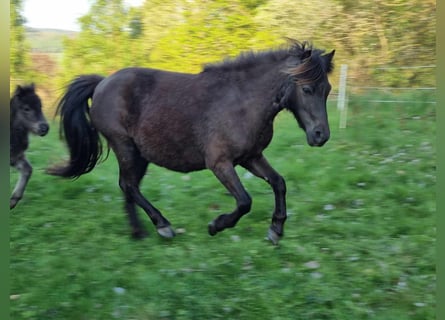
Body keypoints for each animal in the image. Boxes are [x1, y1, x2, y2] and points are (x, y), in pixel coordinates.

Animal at [48, 40, 332, 245]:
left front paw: (276, 230)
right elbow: (244, 201)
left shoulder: (251, 157)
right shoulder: (220, 163)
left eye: (327, 89)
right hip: (124, 146)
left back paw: (139, 234)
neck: (242, 102)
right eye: (307, 89)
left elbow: (279, 183)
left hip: (140, 154)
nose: (321, 135)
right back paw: (163, 226)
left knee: (128, 187)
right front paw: (216, 226)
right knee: (128, 185)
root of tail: (102, 83)